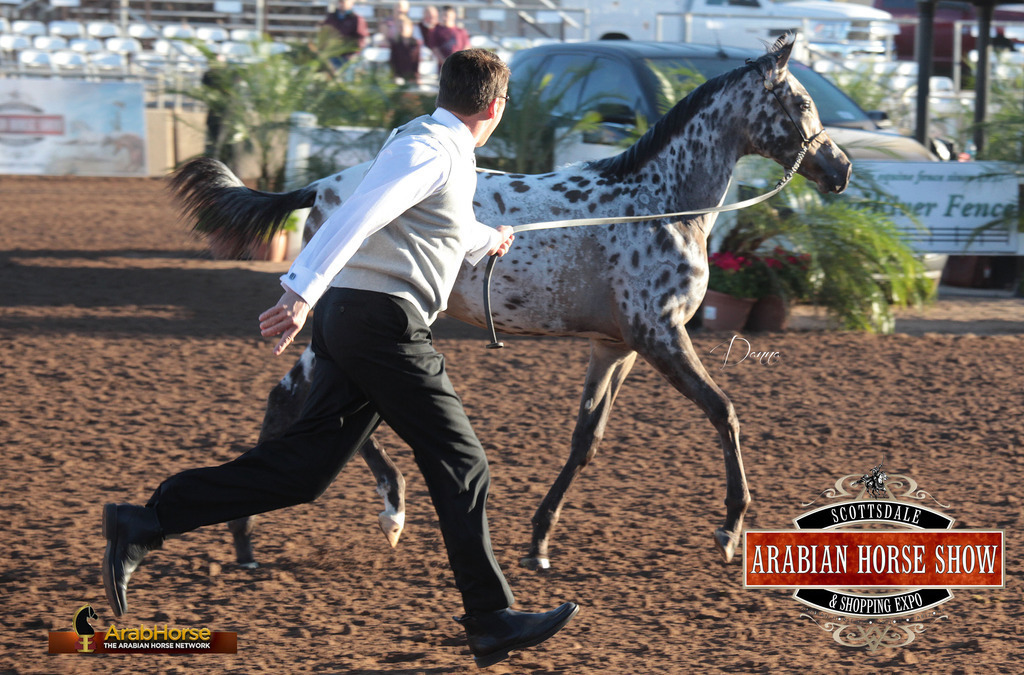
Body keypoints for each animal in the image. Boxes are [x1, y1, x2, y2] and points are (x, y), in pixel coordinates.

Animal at [169, 36, 851, 571]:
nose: (839, 168)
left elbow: (586, 440)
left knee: (319, 406)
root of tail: (323, 187)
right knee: (291, 399)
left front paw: (540, 542)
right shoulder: (660, 335)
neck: (661, 203)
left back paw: (362, 517)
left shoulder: (616, 346)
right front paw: (730, 532)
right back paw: (283, 533)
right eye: (801, 102)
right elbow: (724, 413)